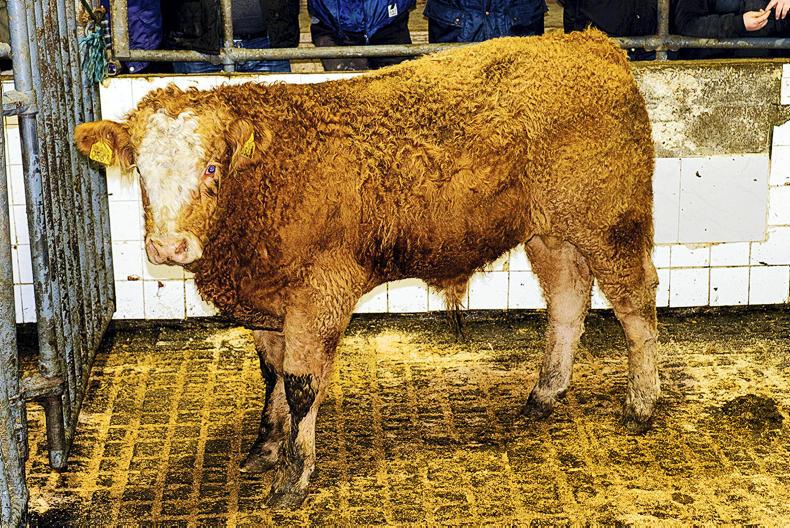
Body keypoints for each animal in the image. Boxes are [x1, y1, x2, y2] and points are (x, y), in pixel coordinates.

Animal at [74, 29, 659, 507]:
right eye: (140, 170)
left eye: (212, 168)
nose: (169, 246)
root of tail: (589, 43)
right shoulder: (269, 303)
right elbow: (272, 375)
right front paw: (265, 447)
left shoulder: (320, 293)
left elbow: (302, 384)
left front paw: (293, 476)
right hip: (551, 233)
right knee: (568, 300)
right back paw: (545, 394)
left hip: (611, 222)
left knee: (636, 304)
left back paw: (642, 403)